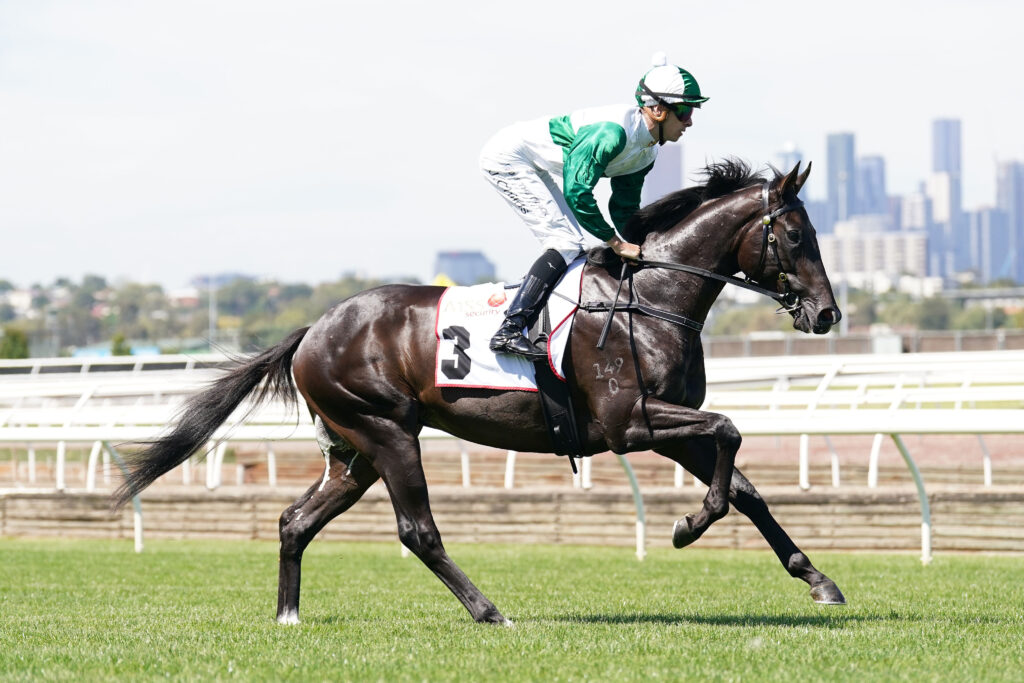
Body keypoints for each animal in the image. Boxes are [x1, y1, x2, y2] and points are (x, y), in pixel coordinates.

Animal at [113, 159, 845, 626]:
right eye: (797, 234)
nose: (826, 314)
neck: (650, 296)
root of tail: (312, 331)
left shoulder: (670, 423)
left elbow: (744, 483)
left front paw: (818, 579)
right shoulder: (629, 421)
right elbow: (729, 432)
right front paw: (687, 525)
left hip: (355, 453)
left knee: (296, 520)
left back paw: (288, 616)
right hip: (387, 432)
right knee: (418, 531)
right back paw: (489, 610)